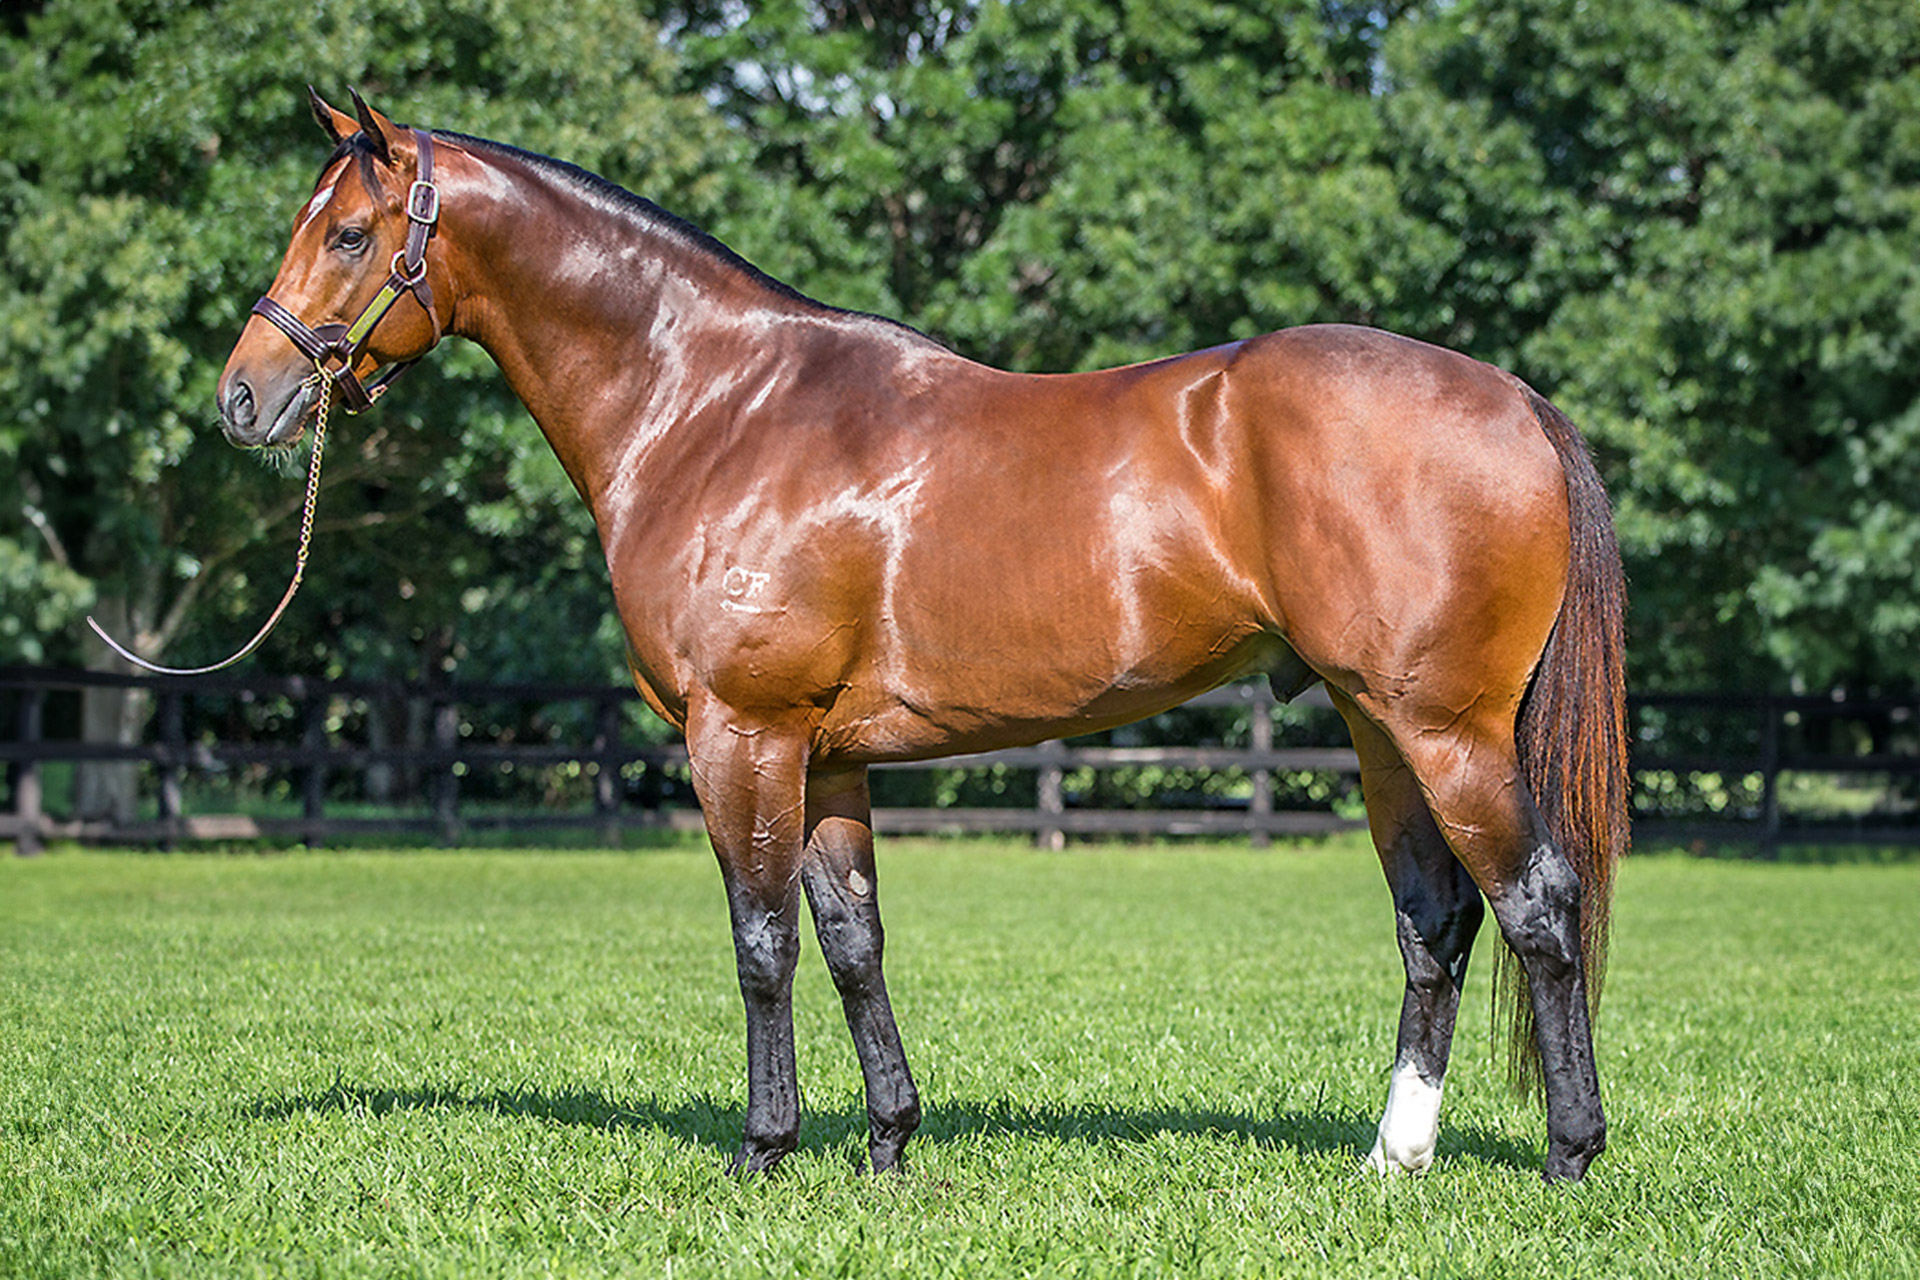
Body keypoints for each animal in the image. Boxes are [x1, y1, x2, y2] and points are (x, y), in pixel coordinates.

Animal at [218, 90, 1627, 1182]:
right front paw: (890, 1140)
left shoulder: (744, 735)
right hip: (1379, 726)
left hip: (1443, 729)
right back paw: (1395, 1155)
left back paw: (1569, 1151)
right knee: (1436, 918)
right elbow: (853, 941)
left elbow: (763, 943)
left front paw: (765, 1147)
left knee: (1538, 903)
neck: (713, 406)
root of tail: (1516, 399)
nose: (244, 397)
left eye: (350, 232)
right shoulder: (829, 755)